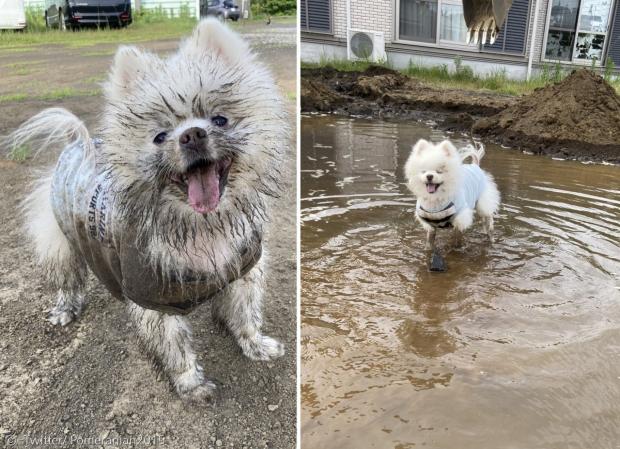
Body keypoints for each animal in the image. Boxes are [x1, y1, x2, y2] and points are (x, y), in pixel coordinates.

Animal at [6, 19, 290, 400]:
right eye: (159, 136)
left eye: (219, 119)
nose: (192, 135)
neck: (201, 225)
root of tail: (76, 143)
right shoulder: (155, 302)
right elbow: (177, 350)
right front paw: (192, 385)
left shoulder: (244, 273)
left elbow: (246, 317)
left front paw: (255, 345)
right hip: (62, 243)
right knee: (68, 280)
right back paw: (66, 309)